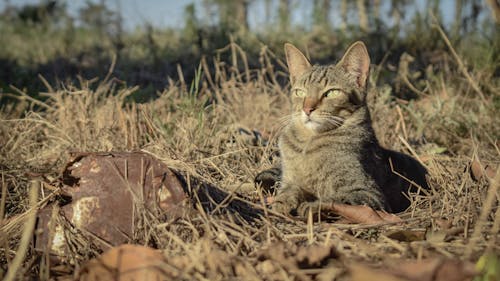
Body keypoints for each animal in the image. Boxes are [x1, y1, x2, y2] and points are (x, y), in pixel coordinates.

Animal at [256, 41, 428, 214]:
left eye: (332, 93)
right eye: (300, 92)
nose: (307, 109)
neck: (308, 143)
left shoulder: (368, 194)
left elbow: (335, 199)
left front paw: (310, 205)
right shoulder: (289, 179)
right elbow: (289, 189)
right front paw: (282, 201)